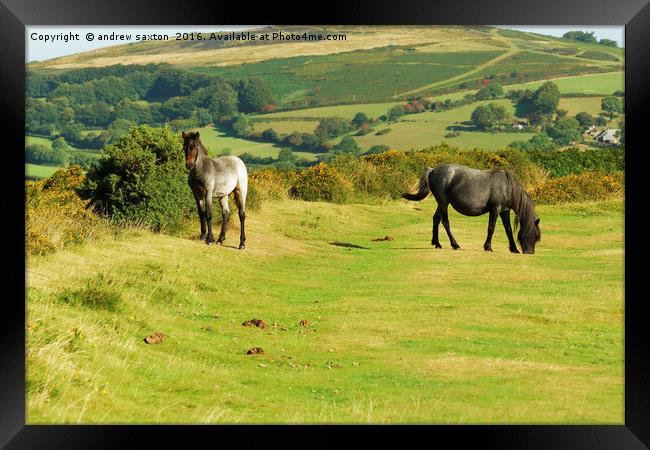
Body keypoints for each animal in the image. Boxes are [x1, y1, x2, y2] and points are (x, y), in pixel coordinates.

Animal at [402, 164, 540, 256]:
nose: (530, 252)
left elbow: (508, 230)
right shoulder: (495, 209)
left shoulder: (504, 211)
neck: (507, 186)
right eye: (533, 235)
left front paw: (514, 249)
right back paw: (455, 245)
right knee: (445, 222)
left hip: (441, 203)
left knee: (436, 219)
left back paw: (437, 243)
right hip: (443, 202)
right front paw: (488, 247)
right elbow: (491, 228)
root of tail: (432, 170)